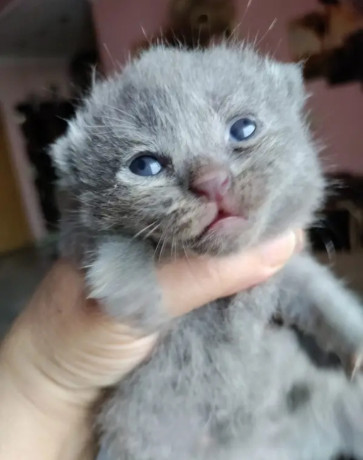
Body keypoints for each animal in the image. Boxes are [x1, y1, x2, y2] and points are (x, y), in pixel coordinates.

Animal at [52, 44, 363, 460]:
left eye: (244, 128)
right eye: (145, 165)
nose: (212, 181)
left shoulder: (283, 268)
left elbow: (321, 295)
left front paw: (357, 339)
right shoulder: (71, 235)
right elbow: (112, 241)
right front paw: (135, 291)